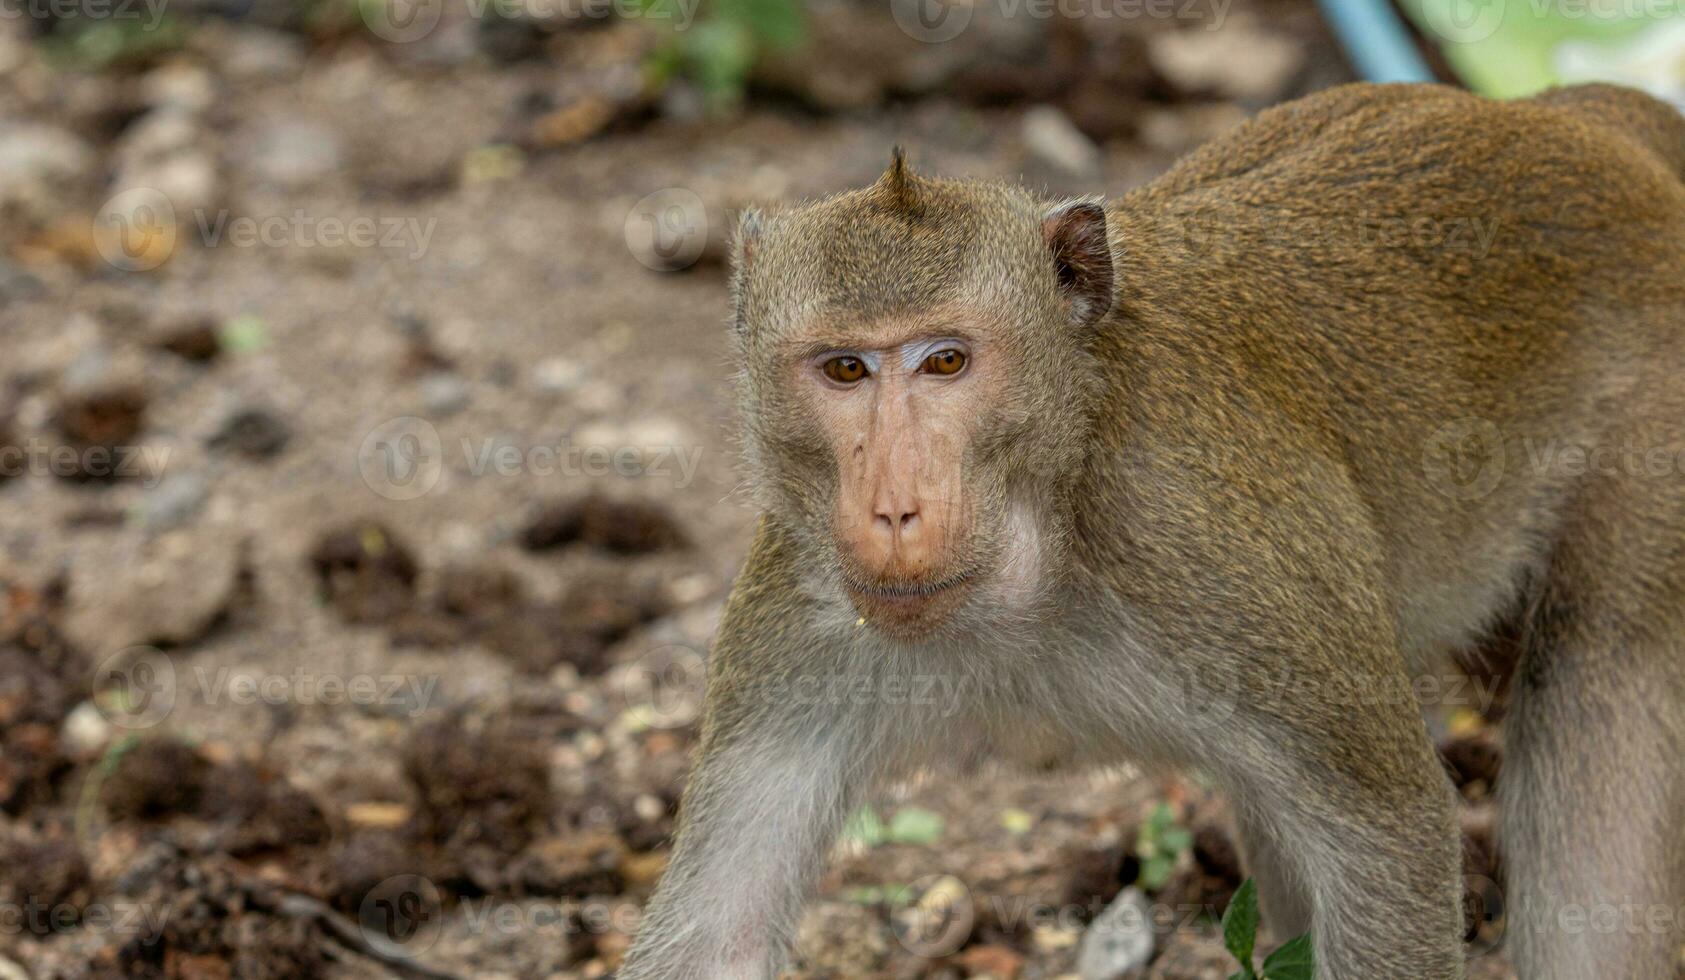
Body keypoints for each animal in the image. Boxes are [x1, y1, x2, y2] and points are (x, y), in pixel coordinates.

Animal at [616, 84, 1685, 980]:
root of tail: (1578, 122)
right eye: (843, 369)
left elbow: (1390, 835)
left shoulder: (1205, 547)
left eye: (946, 361)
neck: (1048, 522)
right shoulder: (793, 610)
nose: (892, 509)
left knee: (1597, 682)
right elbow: (714, 937)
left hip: (1649, 420)